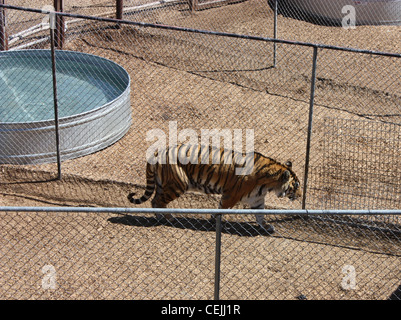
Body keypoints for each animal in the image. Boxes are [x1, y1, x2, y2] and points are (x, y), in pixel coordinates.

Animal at [128, 144, 300, 234]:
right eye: (297, 185)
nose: (299, 195)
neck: (268, 185)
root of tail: (158, 151)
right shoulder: (231, 195)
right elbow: (221, 209)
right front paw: (213, 220)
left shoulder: (257, 199)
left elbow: (260, 216)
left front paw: (266, 227)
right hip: (179, 184)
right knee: (158, 201)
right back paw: (168, 218)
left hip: (163, 183)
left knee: (154, 200)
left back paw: (161, 217)